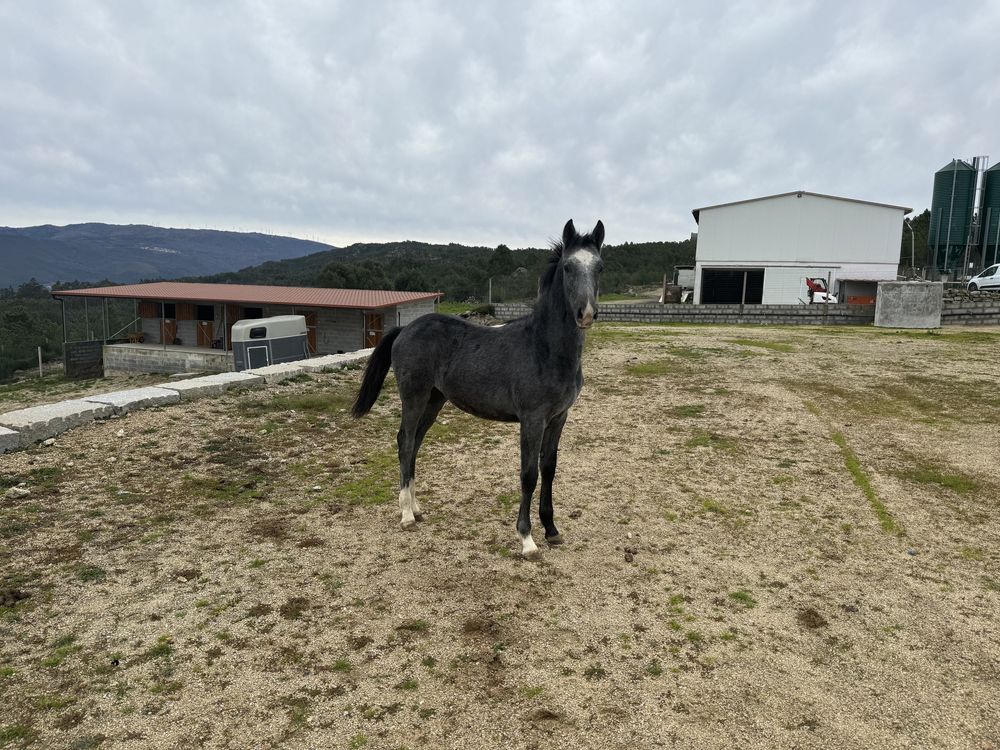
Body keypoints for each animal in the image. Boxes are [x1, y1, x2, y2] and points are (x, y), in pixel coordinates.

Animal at [352, 219, 600, 560]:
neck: (544, 348)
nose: (586, 313)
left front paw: (551, 530)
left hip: (434, 400)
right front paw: (527, 539)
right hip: (414, 396)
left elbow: (549, 469)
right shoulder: (532, 419)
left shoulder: (558, 417)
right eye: (567, 267)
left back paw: (416, 508)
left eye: (599, 267)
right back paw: (405, 515)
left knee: (414, 444)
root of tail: (405, 329)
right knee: (404, 442)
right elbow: (529, 474)